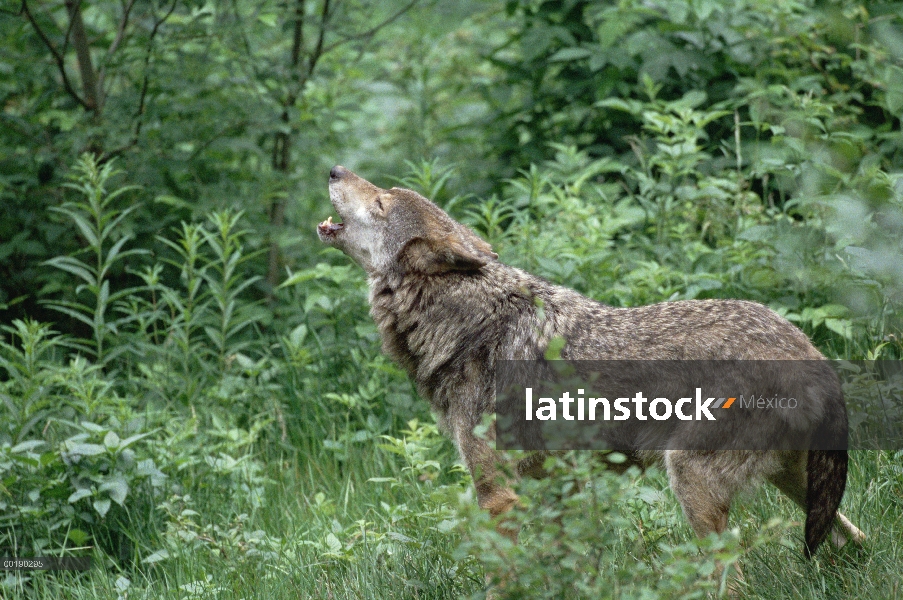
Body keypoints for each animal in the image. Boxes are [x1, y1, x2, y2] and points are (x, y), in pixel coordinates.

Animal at [316, 163, 860, 556]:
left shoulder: (498, 496)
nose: (335, 169)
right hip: (796, 484)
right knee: (852, 540)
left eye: (382, 201)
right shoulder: (560, 492)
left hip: (691, 479)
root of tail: (808, 350)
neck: (471, 323)